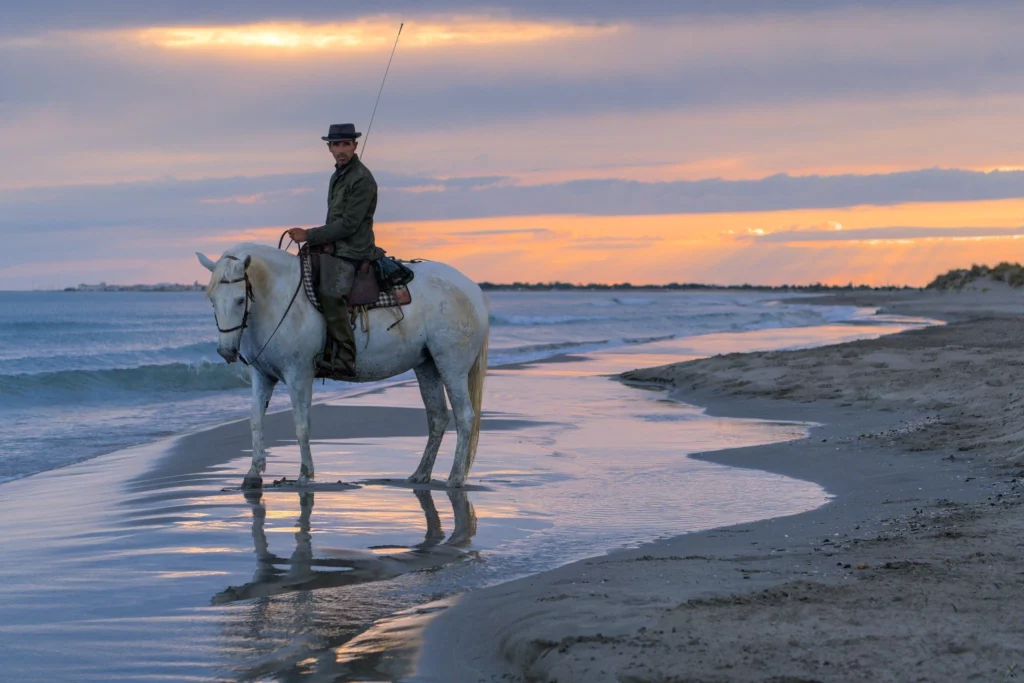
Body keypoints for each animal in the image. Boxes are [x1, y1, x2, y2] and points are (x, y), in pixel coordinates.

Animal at [196, 243, 489, 489]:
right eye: (212, 300)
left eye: (239, 300)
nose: (226, 351)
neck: (278, 299)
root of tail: (472, 289)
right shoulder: (262, 377)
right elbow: (256, 421)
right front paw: (253, 474)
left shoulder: (299, 375)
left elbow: (301, 424)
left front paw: (305, 475)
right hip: (427, 366)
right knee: (437, 417)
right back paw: (420, 475)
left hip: (451, 367)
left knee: (465, 416)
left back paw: (455, 479)